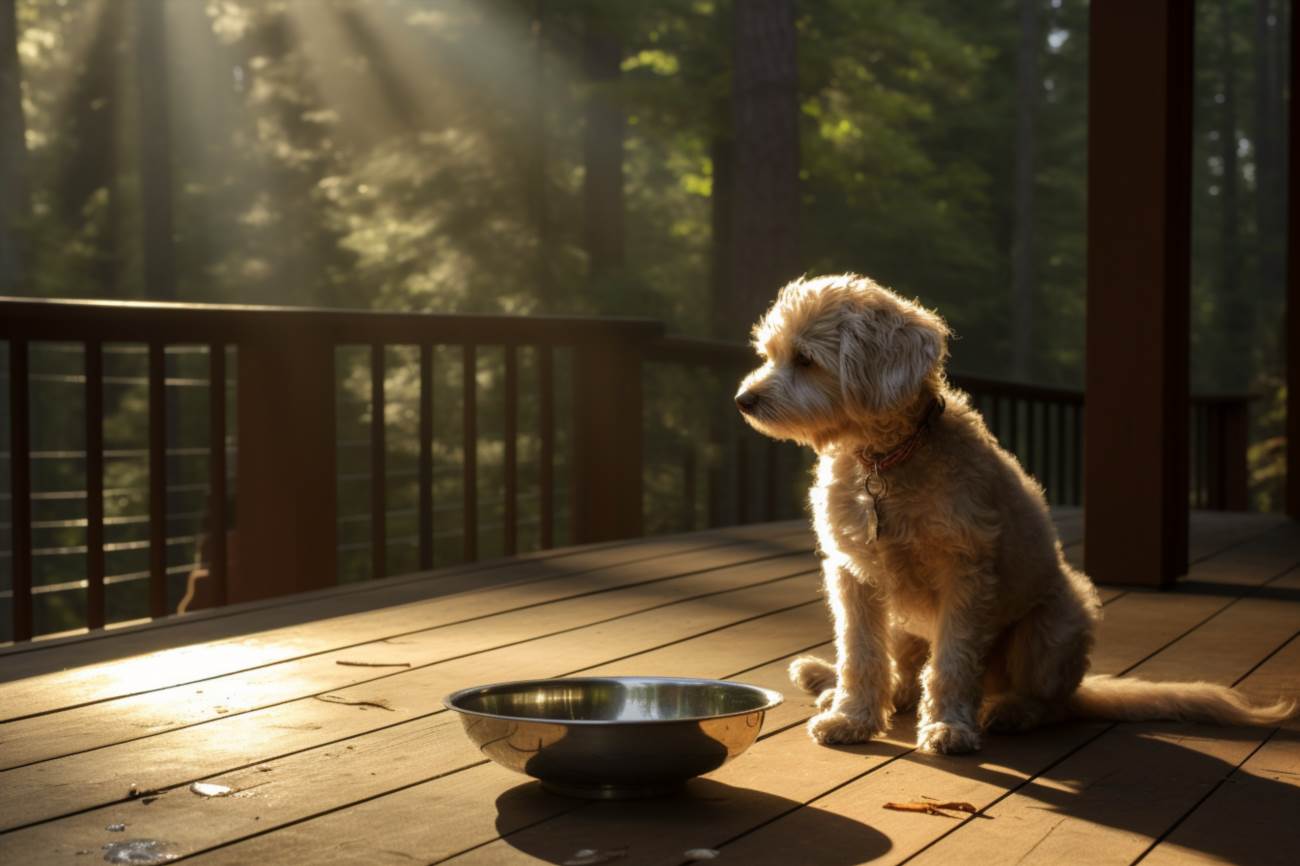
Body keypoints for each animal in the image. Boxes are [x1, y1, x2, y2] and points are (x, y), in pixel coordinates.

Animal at [738, 273, 1294, 754]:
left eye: (806, 359)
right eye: (770, 354)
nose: (744, 400)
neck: (885, 460)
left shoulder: (965, 574)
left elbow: (953, 662)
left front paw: (949, 727)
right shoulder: (854, 575)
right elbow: (860, 655)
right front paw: (852, 717)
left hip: (1054, 627)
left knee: (1052, 704)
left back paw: (1011, 711)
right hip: (910, 628)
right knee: (902, 679)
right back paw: (834, 685)